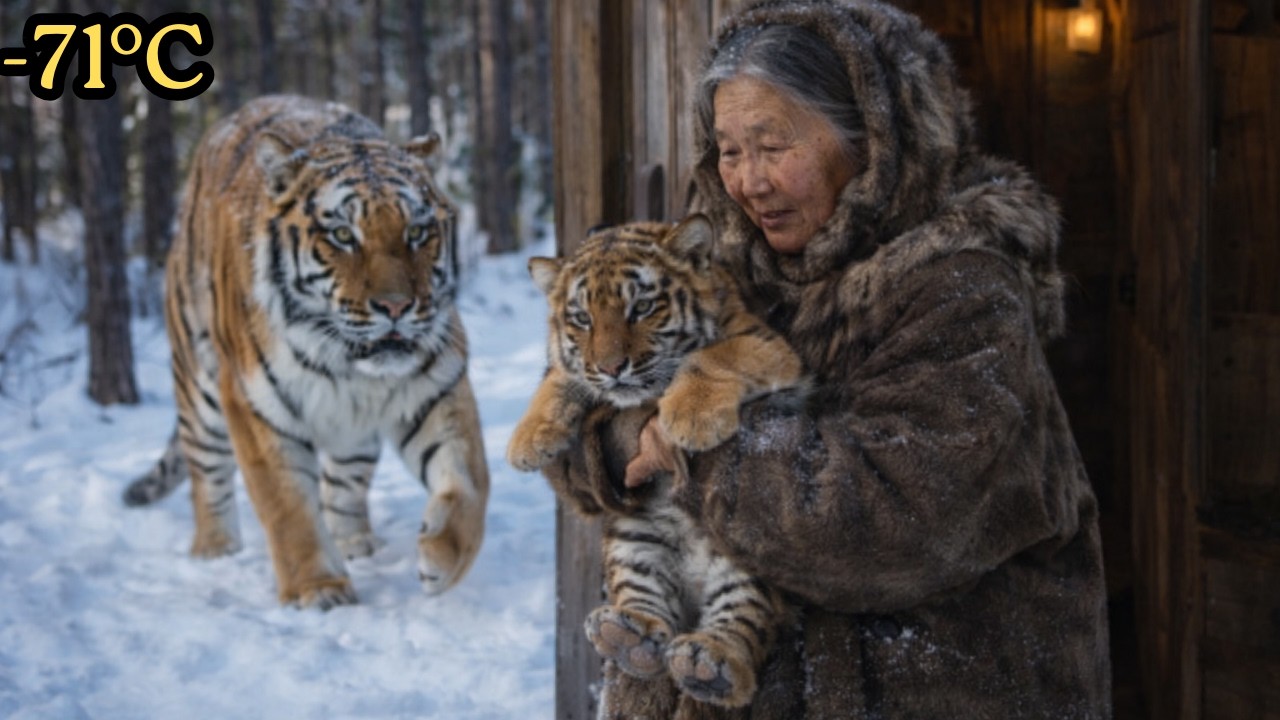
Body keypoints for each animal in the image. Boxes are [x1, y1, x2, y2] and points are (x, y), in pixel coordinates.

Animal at [123, 95, 489, 610]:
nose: (397, 307)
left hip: (353, 432)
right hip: (199, 385)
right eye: (343, 236)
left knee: (345, 484)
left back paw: (356, 543)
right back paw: (215, 549)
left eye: (417, 232)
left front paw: (441, 560)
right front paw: (319, 589)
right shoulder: (256, 406)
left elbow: (471, 477)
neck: (347, 363)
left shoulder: (437, 383)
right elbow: (287, 505)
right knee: (206, 472)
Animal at [506, 216, 804, 708]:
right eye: (583, 319)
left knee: (742, 624)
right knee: (644, 603)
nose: (612, 367)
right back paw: (628, 634)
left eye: (642, 308)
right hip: (634, 537)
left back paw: (711, 663)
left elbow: (710, 356)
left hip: (752, 552)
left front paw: (692, 417)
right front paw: (528, 438)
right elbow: (561, 376)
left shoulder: (765, 342)